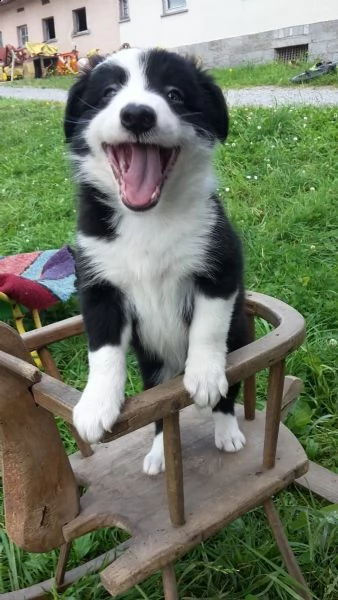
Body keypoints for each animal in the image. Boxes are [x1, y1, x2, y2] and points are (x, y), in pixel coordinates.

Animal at [66, 48, 250, 474]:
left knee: (228, 394)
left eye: (174, 94)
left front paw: (203, 376)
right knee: (162, 416)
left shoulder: (221, 262)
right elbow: (102, 349)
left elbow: (207, 326)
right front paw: (94, 406)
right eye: (109, 92)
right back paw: (157, 454)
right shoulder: (97, 283)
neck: (148, 219)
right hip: (153, 367)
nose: (137, 115)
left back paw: (227, 432)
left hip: (240, 338)